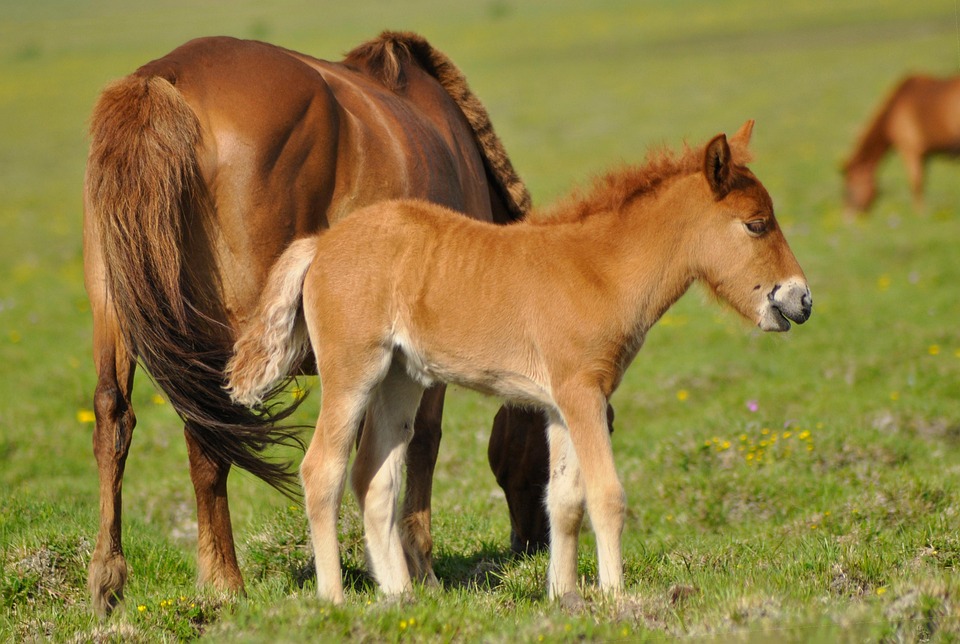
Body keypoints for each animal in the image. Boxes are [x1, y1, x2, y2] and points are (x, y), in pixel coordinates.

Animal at [82, 31, 535, 616]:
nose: (529, 543)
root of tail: (164, 78)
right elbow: (419, 447)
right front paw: (419, 569)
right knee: (208, 439)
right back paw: (224, 582)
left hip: (119, 310)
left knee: (115, 417)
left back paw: (110, 579)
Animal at [225, 120, 813, 605]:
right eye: (756, 225)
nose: (800, 300)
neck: (598, 270)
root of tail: (321, 244)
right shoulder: (583, 393)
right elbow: (607, 495)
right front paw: (617, 598)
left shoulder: (559, 407)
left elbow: (565, 500)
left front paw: (565, 596)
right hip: (353, 374)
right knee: (321, 470)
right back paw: (334, 599)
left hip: (399, 380)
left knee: (373, 477)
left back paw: (401, 595)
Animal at [843, 74, 960, 213]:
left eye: (849, 191)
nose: (847, 215)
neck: (894, 110)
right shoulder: (924, 155)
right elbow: (922, 181)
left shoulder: (909, 149)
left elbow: (916, 183)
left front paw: (920, 213)